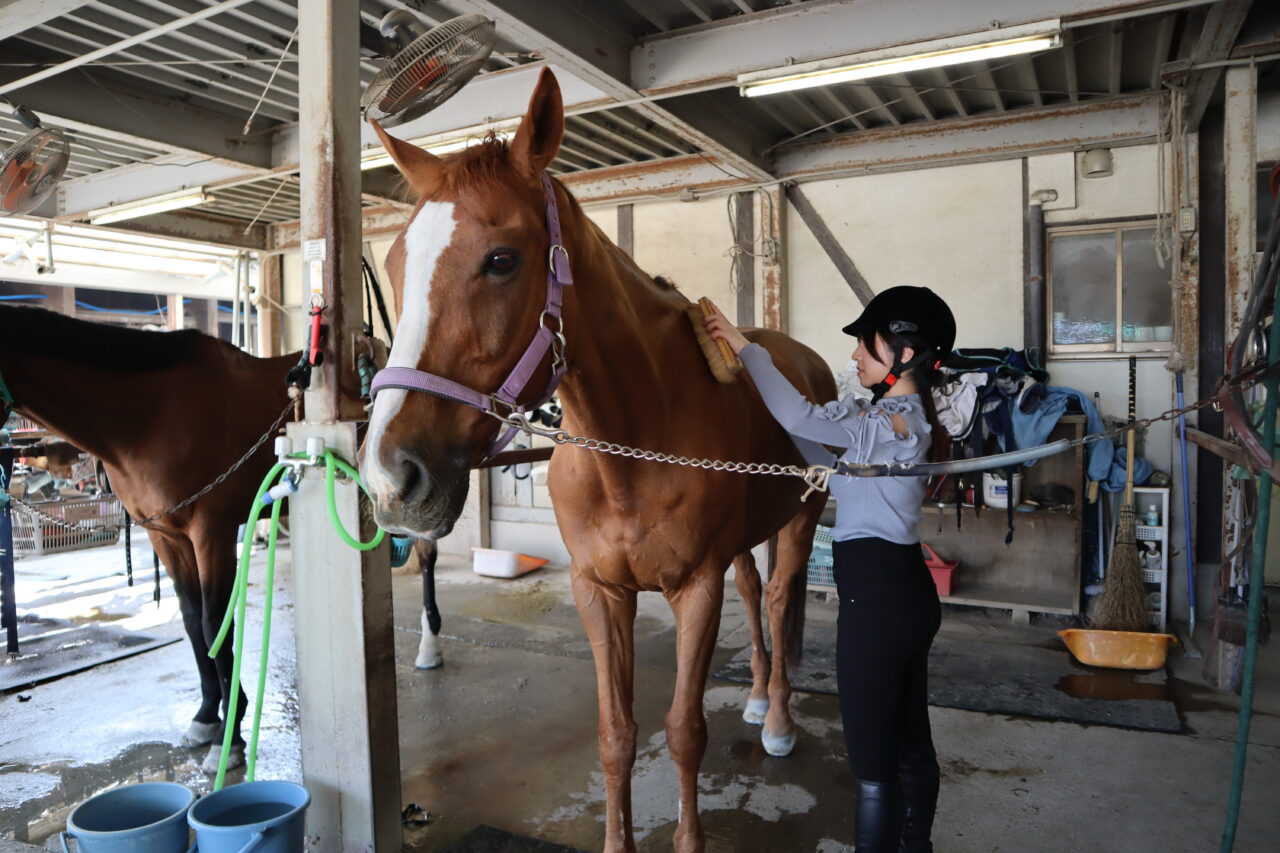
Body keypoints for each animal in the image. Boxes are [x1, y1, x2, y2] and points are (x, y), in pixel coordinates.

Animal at [0, 304, 296, 772]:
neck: (150, 416)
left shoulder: (211, 532)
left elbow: (215, 625)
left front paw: (228, 741)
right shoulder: (165, 536)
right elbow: (193, 623)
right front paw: (206, 718)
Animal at [360, 68, 835, 853]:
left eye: (501, 260)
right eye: (397, 264)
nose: (390, 479)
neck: (630, 451)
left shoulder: (693, 590)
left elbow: (683, 731)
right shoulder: (599, 590)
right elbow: (616, 734)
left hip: (799, 523)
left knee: (773, 596)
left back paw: (776, 720)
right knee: (753, 593)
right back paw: (757, 695)